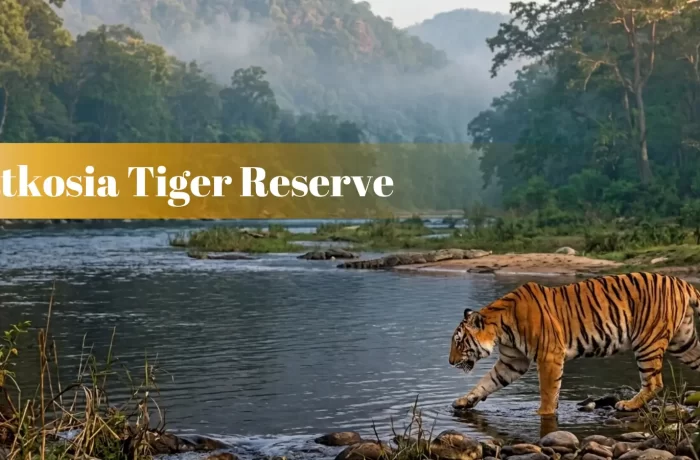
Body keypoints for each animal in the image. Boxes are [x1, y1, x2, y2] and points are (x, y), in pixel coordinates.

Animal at [448, 272, 700, 416]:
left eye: (459, 342)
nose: (450, 362)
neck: (501, 329)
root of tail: (682, 282)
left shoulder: (549, 355)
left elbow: (548, 391)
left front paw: (543, 413)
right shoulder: (512, 361)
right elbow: (487, 381)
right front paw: (464, 401)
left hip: (648, 341)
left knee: (654, 382)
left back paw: (628, 405)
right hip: (683, 342)